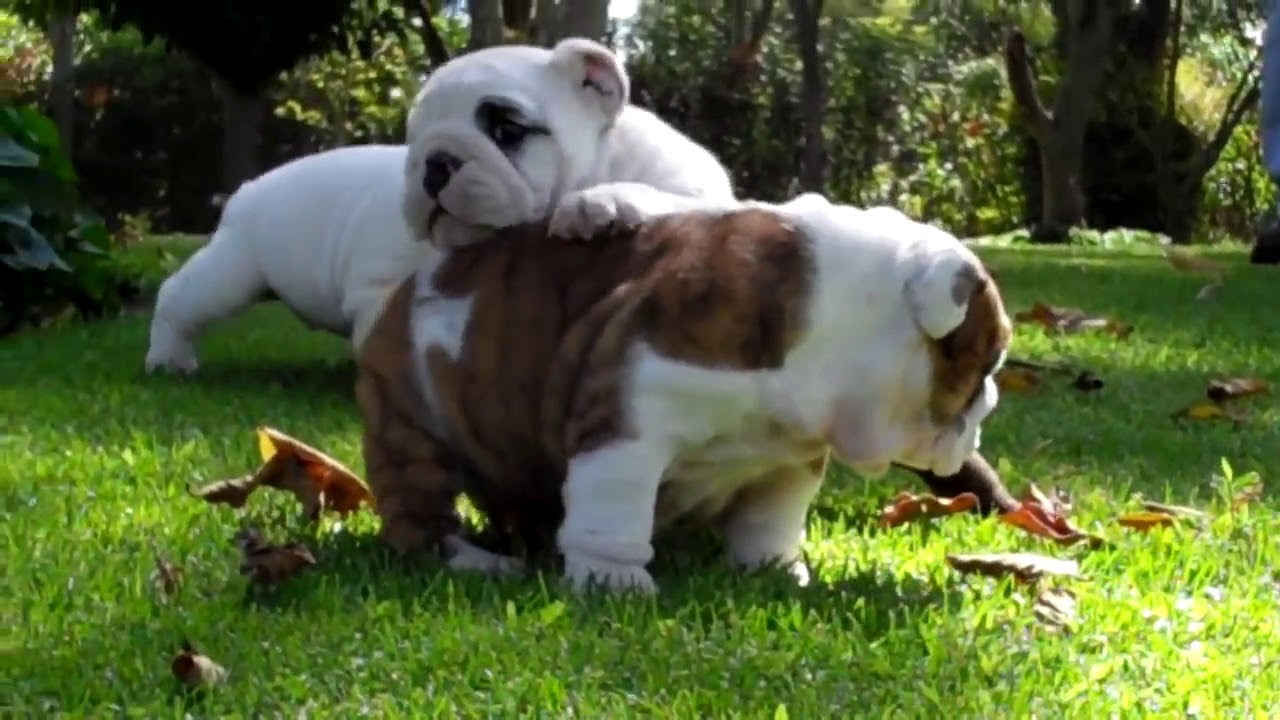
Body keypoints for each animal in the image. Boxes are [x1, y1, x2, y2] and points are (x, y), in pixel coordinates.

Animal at [142, 36, 732, 371]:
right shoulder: (382, 290)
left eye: (506, 128)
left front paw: (600, 202)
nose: (434, 162)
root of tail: (251, 188)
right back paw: (169, 357)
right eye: (415, 137)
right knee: (180, 299)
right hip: (234, 269)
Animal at [355, 188, 1013, 591]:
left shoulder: (786, 460)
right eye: (987, 366)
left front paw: (774, 570)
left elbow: (771, 518)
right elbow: (614, 509)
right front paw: (615, 582)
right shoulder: (626, 423)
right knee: (418, 520)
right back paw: (480, 562)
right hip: (410, 424)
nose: (991, 404)